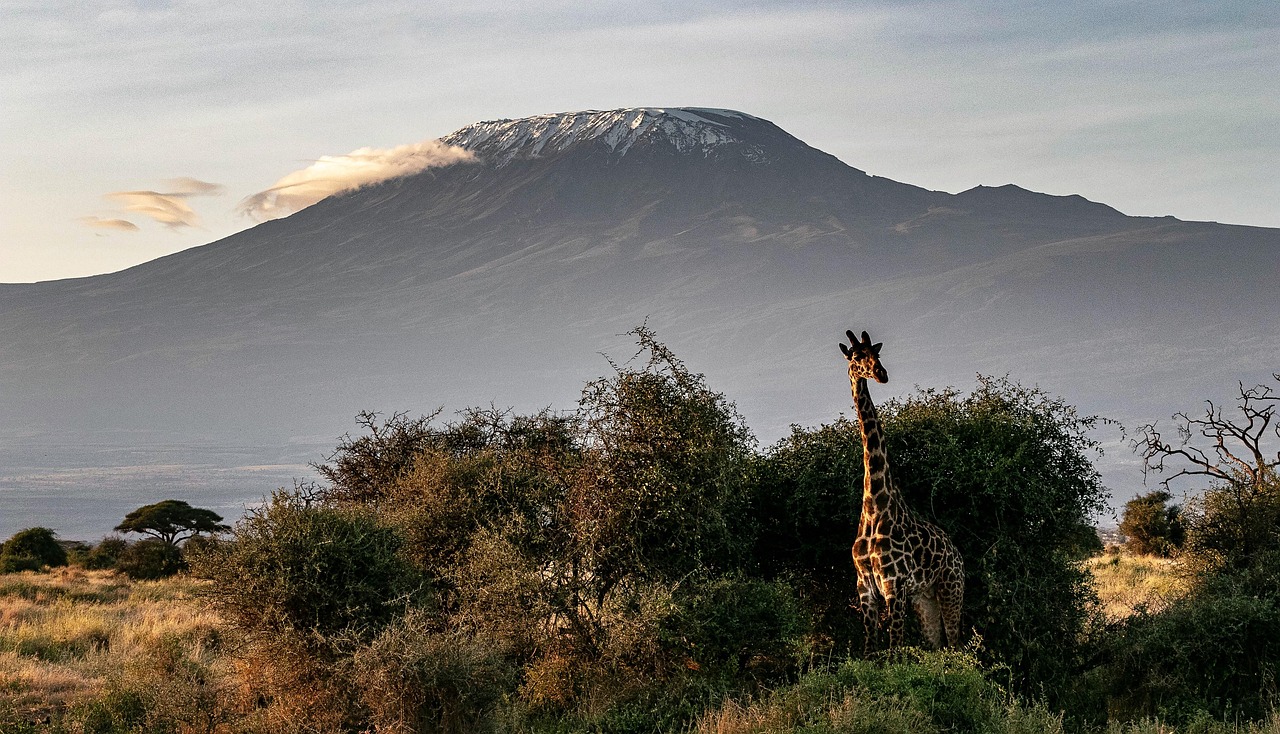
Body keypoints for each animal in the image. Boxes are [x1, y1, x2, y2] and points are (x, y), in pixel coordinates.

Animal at [841, 329, 964, 652]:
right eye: (856, 357)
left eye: (877, 354)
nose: (881, 374)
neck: (874, 505)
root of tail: (957, 553)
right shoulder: (865, 588)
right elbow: (871, 649)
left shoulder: (893, 585)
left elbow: (895, 649)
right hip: (924, 598)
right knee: (937, 646)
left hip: (951, 588)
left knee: (957, 644)